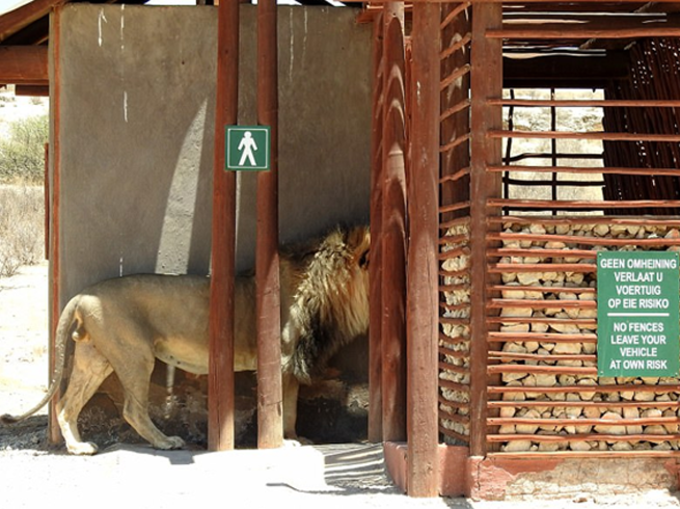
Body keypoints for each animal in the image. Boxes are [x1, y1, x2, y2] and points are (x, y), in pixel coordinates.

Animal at [2, 224, 370, 454]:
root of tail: (81, 294)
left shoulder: (291, 364)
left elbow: (290, 408)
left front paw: (295, 437)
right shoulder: (278, 359)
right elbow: (281, 407)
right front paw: (283, 442)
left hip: (94, 359)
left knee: (65, 404)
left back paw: (78, 448)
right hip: (135, 356)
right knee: (132, 409)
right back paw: (166, 442)